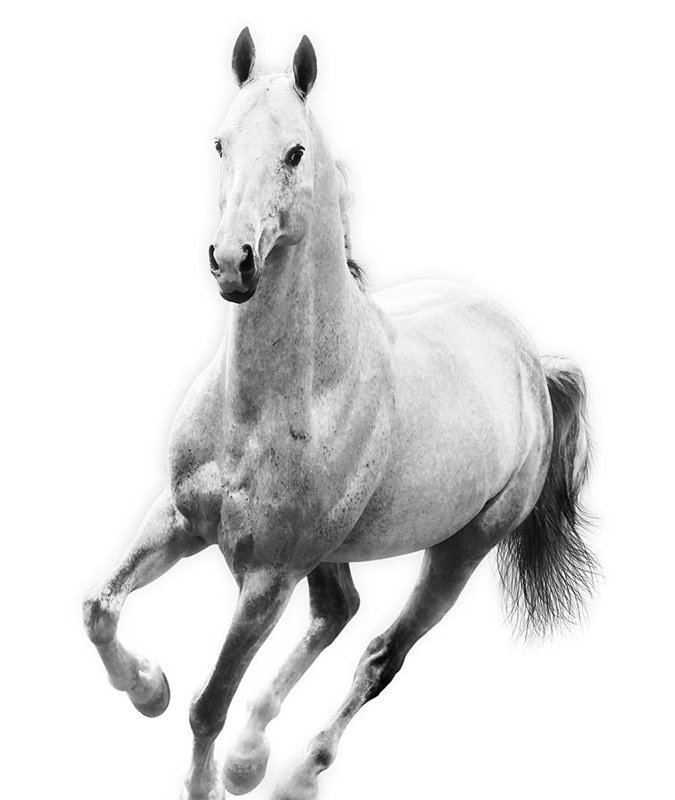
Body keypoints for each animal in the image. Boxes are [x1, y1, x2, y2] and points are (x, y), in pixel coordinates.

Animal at [82, 29, 597, 800]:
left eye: (295, 151)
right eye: (220, 142)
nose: (231, 261)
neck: (264, 408)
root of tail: (531, 362)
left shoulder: (267, 577)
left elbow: (208, 704)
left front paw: (205, 768)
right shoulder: (179, 519)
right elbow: (100, 608)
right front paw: (148, 688)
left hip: (459, 553)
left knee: (380, 654)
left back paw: (293, 772)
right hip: (328, 552)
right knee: (337, 612)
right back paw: (252, 757)